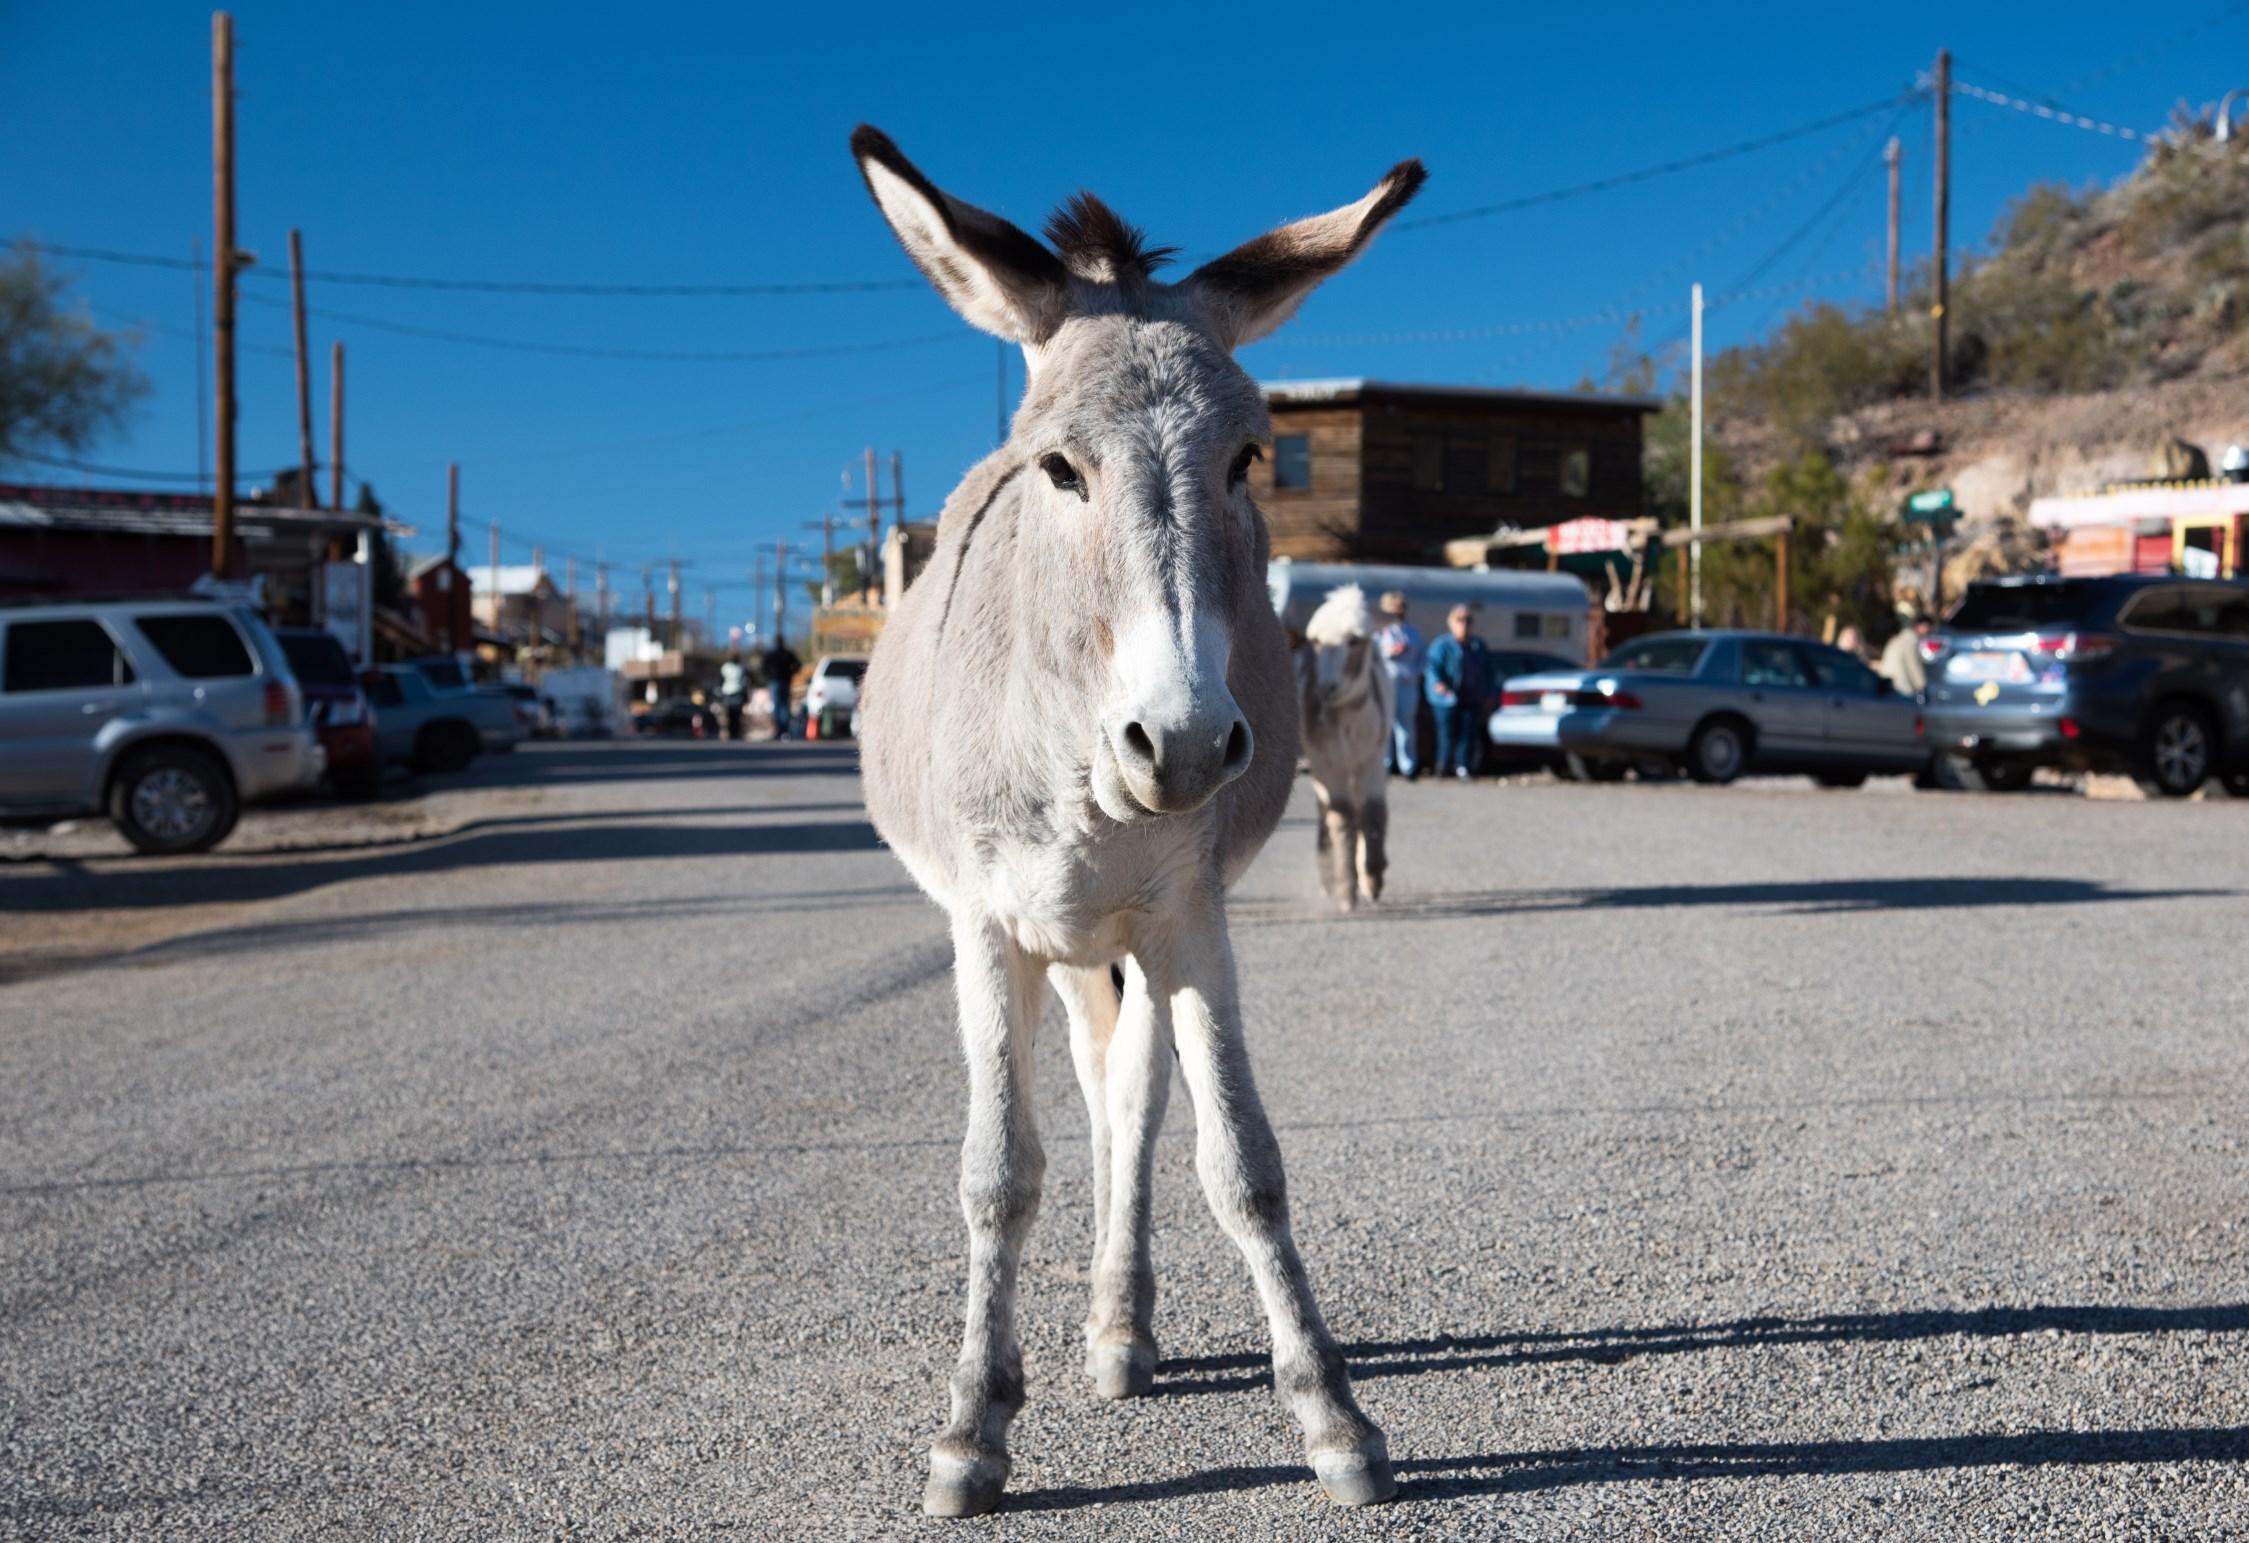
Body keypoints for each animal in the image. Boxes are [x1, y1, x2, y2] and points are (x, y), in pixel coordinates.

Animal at [1298, 584, 1393, 910]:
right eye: (1315, 641)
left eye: (1354, 640)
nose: (1326, 688)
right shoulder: (1326, 765)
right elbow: (1341, 818)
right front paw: (1346, 889)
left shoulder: (1374, 757)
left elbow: (1373, 812)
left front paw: (1373, 879)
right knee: (1327, 811)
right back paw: (1330, 875)